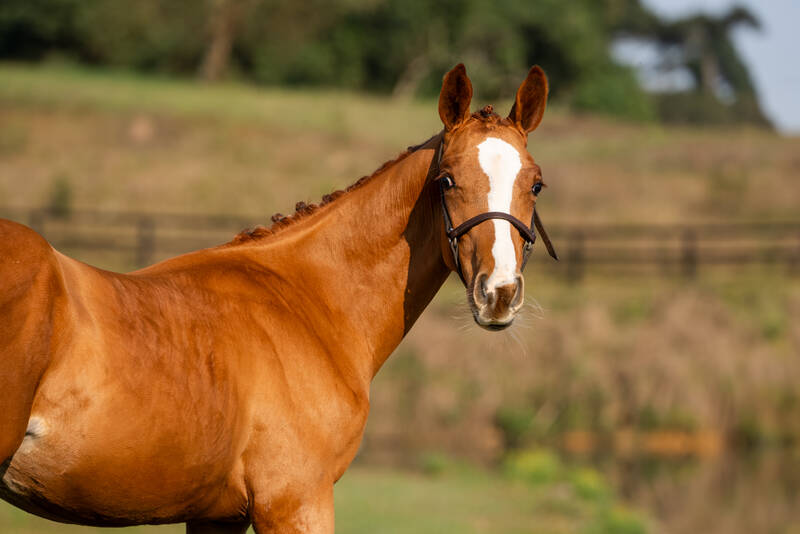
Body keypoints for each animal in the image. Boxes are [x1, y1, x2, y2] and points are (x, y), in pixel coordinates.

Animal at [0, 65, 556, 532]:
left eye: (536, 184)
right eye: (447, 179)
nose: (499, 293)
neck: (306, 300)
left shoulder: (216, 516)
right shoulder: (295, 502)